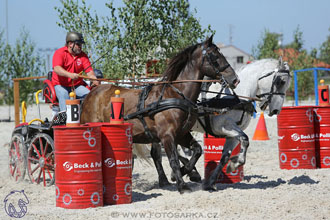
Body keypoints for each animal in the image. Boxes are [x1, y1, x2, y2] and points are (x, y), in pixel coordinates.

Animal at [81, 35, 238, 193]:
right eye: (214, 56)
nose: (235, 79)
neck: (175, 95)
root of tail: (91, 94)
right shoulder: (167, 136)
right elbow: (173, 159)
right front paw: (182, 184)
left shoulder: (181, 134)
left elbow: (197, 150)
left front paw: (184, 173)